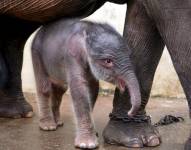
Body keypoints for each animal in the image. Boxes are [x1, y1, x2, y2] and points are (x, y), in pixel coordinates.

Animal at [31, 19, 141, 149]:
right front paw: (87, 144)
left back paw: (58, 122)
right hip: (37, 54)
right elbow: (79, 89)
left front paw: (94, 134)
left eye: (129, 55)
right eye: (108, 61)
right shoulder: (71, 56)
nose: (129, 112)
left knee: (60, 90)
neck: (88, 29)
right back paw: (48, 126)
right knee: (45, 88)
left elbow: (93, 88)